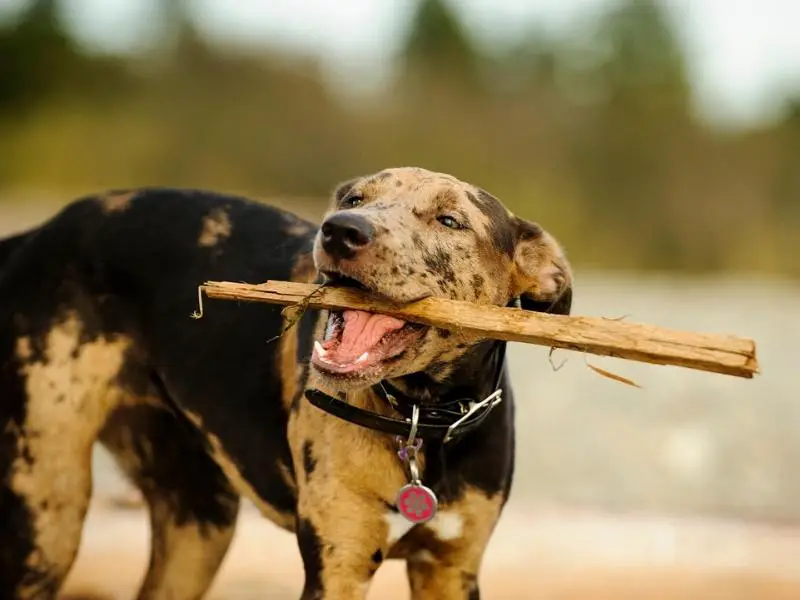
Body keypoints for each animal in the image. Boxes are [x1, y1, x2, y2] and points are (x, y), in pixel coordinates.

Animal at [1, 165, 576, 600]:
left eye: (451, 219)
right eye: (355, 198)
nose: (341, 230)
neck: (422, 417)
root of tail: (38, 234)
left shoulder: (451, 569)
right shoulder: (338, 563)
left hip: (198, 524)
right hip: (45, 516)